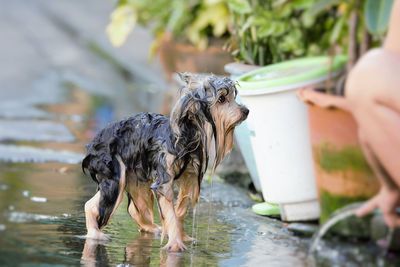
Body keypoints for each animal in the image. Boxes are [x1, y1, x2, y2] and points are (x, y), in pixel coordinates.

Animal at [82, 72, 248, 252]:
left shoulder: (190, 178)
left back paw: (151, 227)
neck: (188, 136)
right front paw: (176, 244)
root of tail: (93, 142)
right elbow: (170, 213)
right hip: (116, 176)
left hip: (137, 177)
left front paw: (181, 236)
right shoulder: (164, 180)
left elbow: (180, 210)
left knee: (135, 208)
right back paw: (95, 234)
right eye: (222, 99)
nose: (246, 110)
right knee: (92, 204)